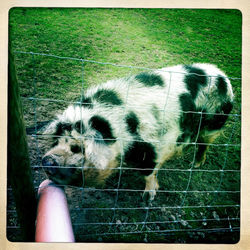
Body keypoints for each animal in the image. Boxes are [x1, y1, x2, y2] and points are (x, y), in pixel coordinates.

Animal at [41, 63, 234, 201]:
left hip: (213, 123)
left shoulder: (151, 146)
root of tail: (223, 76)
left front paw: (148, 198)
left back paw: (196, 164)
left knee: (204, 144)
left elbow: (149, 172)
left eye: (77, 148)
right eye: (56, 141)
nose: (47, 160)